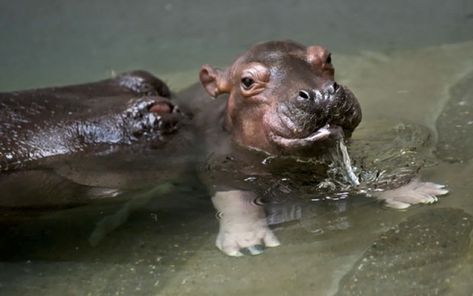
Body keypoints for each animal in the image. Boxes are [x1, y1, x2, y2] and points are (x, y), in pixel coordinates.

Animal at [177, 41, 446, 256]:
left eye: (327, 57)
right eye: (247, 81)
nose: (320, 93)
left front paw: (415, 192)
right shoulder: (219, 165)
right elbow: (233, 196)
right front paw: (248, 242)